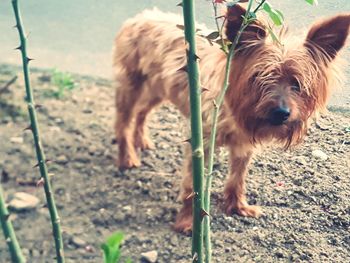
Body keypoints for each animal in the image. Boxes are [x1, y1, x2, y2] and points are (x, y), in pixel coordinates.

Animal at [113, 5, 350, 233]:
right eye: (258, 78)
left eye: (297, 84)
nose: (281, 112)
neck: (232, 108)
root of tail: (141, 17)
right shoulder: (200, 144)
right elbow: (192, 187)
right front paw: (188, 222)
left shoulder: (244, 145)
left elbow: (238, 178)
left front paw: (237, 207)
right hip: (132, 84)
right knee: (123, 121)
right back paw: (127, 157)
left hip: (158, 88)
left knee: (142, 111)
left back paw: (141, 140)